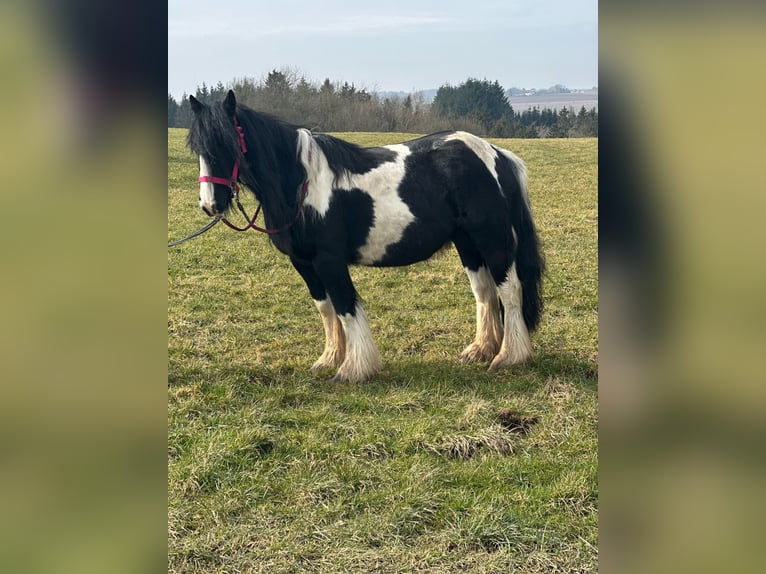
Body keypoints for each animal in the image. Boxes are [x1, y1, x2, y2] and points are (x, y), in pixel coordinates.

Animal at [187, 92, 544, 384]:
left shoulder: (329, 261)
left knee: (509, 290)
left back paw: (509, 357)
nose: (210, 204)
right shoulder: (304, 263)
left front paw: (353, 369)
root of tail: (495, 154)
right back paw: (481, 349)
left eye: (228, 144)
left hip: (492, 239)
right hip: (467, 243)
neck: (302, 184)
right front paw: (330, 359)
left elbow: (346, 307)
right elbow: (326, 309)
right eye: (199, 149)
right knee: (485, 292)